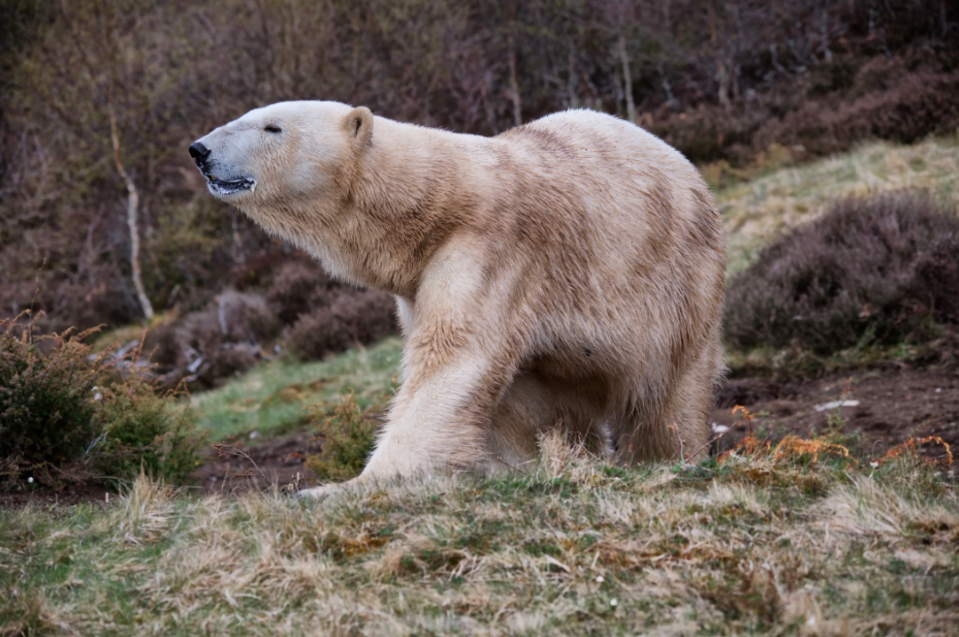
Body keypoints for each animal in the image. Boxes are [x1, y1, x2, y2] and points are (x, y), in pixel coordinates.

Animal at [189, 103, 728, 492]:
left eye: (272, 126)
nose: (199, 149)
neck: (436, 202)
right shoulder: (418, 284)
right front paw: (511, 467)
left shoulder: (492, 249)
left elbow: (453, 357)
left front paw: (341, 487)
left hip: (680, 287)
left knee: (670, 393)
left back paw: (671, 457)